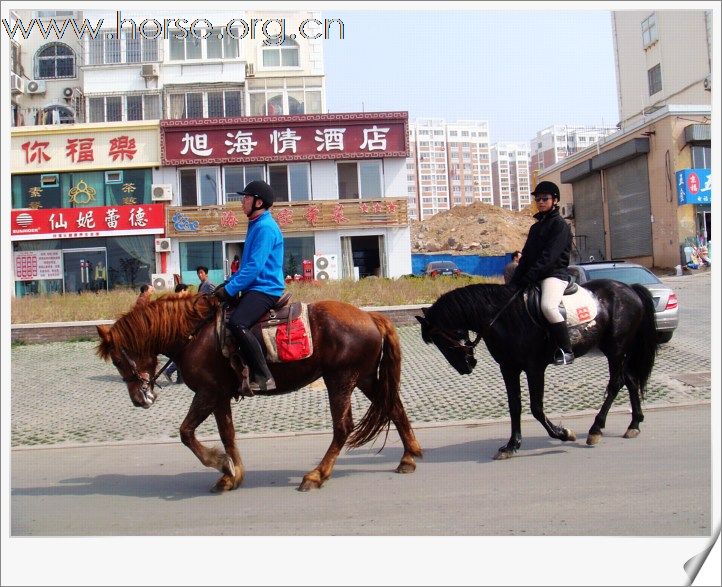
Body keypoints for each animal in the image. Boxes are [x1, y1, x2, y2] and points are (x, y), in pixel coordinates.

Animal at [96, 294, 422, 492]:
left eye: (117, 360)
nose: (138, 398)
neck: (194, 335)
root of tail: (371, 317)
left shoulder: (207, 392)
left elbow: (186, 432)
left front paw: (220, 463)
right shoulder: (219, 396)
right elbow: (227, 434)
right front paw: (232, 474)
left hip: (340, 380)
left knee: (343, 427)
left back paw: (316, 474)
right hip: (364, 378)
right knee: (394, 407)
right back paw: (408, 457)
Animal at [416, 280, 660, 460]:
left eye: (440, 340)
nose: (465, 367)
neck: (505, 318)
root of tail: (630, 288)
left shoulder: (534, 368)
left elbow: (536, 408)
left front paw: (563, 434)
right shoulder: (509, 368)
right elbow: (514, 406)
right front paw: (511, 445)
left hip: (616, 349)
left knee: (615, 384)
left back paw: (595, 429)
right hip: (616, 351)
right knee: (630, 380)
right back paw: (634, 424)